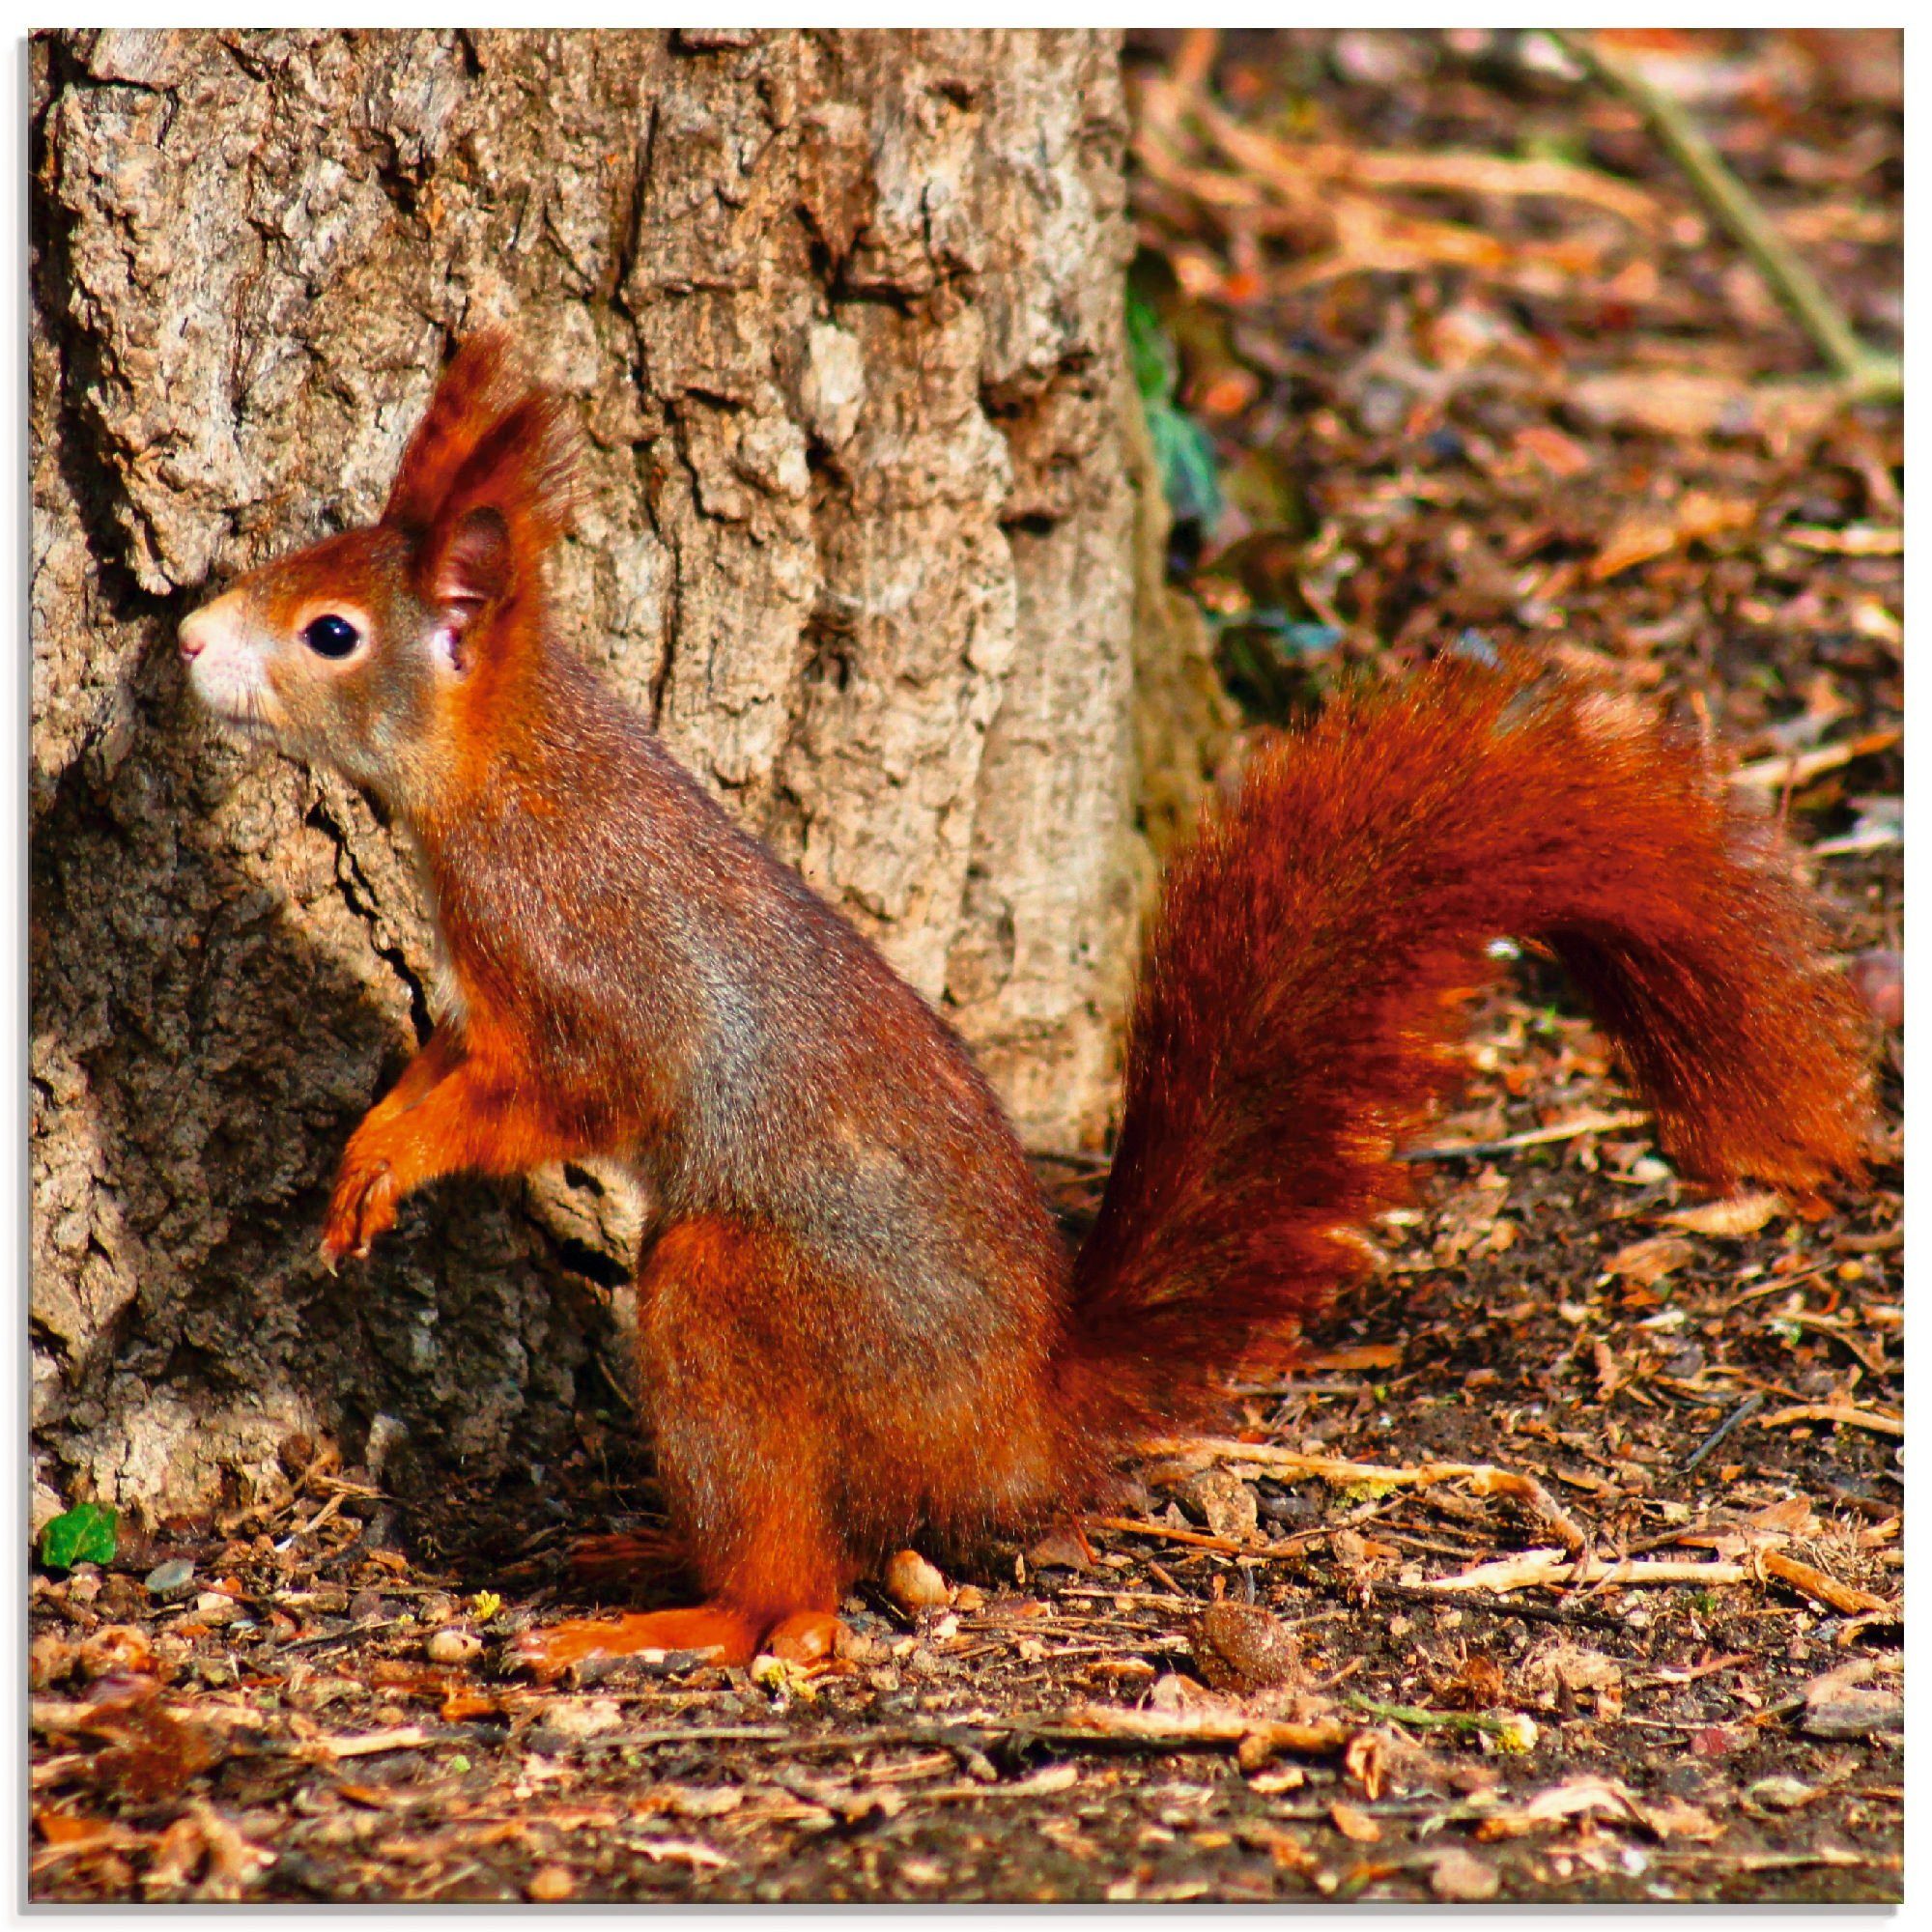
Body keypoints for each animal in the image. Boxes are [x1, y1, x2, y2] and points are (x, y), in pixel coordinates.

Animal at [178, 328, 1870, 1662]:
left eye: (331, 633)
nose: (187, 635)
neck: (509, 777)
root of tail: (1022, 1421)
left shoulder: (597, 977)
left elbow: (558, 1095)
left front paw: (400, 1162)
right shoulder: (487, 993)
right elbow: (443, 1060)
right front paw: (365, 1150)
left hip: (743, 1297)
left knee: (803, 1591)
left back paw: (692, 1617)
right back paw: (644, 1552)